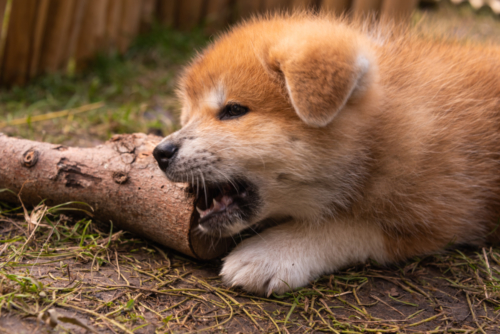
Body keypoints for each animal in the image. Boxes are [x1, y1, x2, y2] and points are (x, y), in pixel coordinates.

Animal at [152, 13, 500, 294]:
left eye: (234, 110)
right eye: (186, 117)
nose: (160, 152)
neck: (381, 138)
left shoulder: (448, 214)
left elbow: (346, 226)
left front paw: (275, 251)